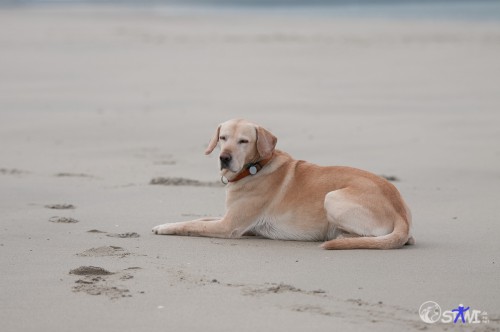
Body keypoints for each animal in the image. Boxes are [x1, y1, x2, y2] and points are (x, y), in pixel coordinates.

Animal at [153, 119, 414, 249]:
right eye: (223, 138)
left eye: (243, 141)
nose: (224, 158)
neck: (255, 167)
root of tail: (400, 214)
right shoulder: (231, 219)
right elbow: (200, 219)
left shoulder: (228, 226)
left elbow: (190, 224)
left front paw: (165, 227)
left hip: (332, 197)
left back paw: (338, 237)